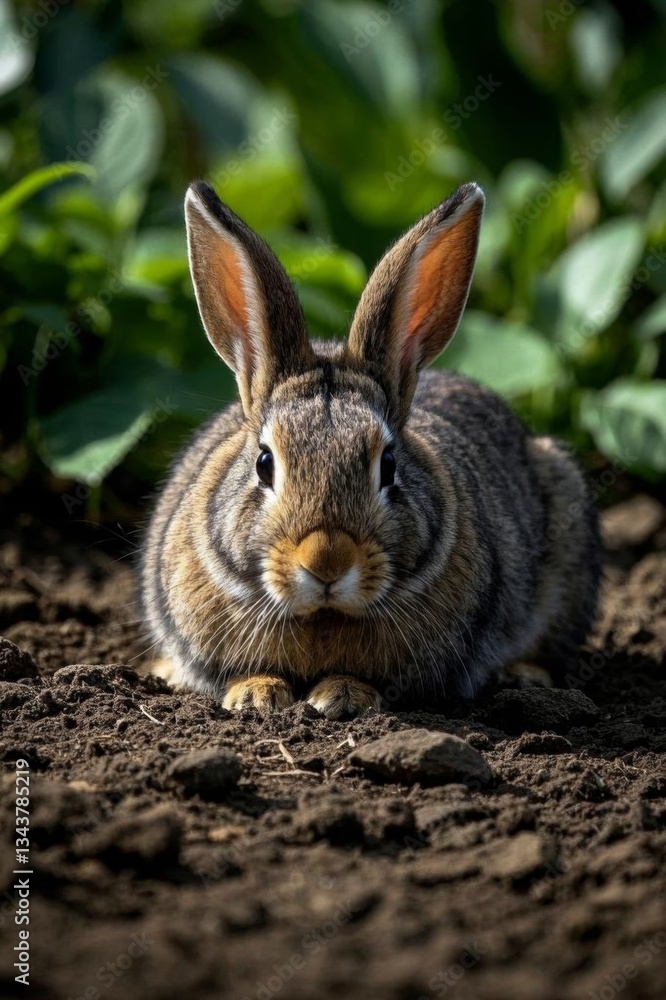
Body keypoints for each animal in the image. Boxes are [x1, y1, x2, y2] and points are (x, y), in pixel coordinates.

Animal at [140, 179, 602, 719]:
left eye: (389, 465)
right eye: (264, 463)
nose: (326, 563)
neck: (322, 614)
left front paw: (341, 695)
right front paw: (256, 695)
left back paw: (523, 676)